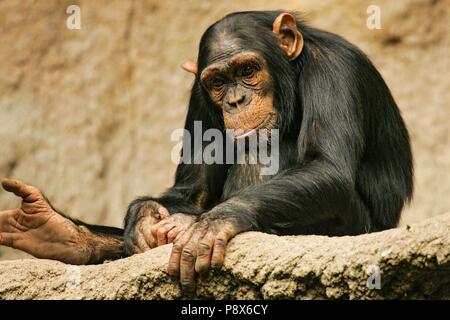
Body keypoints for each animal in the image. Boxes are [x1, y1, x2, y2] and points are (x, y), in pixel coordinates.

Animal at [0, 11, 412, 292]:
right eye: (217, 82)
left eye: (248, 70)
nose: (236, 100)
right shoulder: (199, 97)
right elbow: (192, 190)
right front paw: (146, 217)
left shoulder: (335, 72)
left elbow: (327, 168)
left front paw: (213, 223)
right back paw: (60, 232)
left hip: (357, 229)